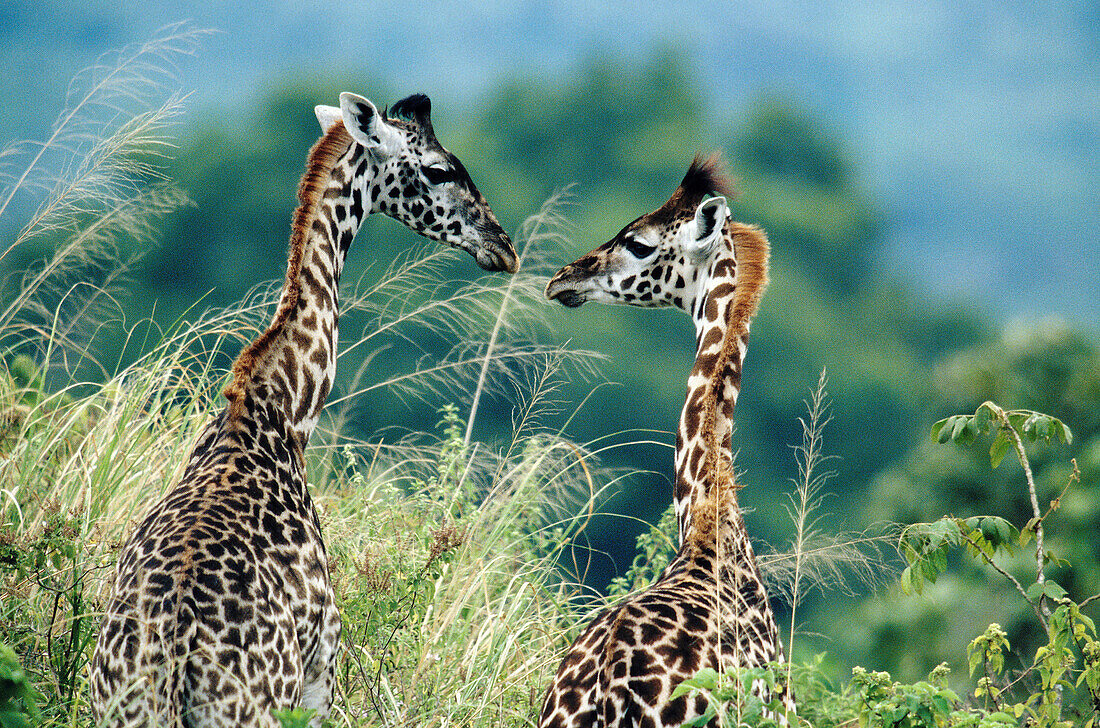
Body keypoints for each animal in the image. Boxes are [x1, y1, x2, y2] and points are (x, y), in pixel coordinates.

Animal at [89, 92, 514, 728]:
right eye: (441, 170)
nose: (503, 247)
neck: (282, 413)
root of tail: (174, 662)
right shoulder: (323, 666)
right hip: (258, 706)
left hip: (115, 706)